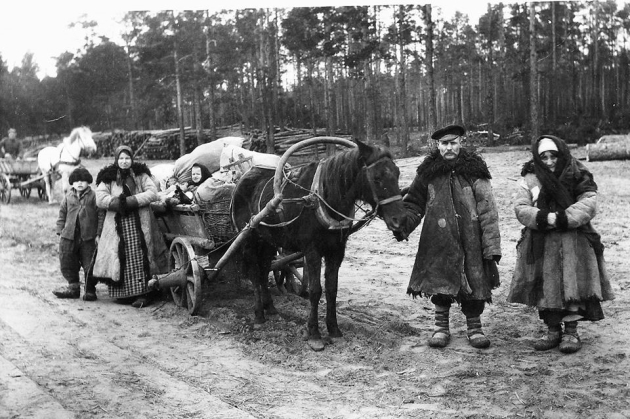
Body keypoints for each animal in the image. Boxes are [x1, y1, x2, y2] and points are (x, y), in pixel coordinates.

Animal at [233, 140, 410, 352]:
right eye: (376, 178)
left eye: (397, 173)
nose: (400, 220)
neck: (323, 197)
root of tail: (242, 180)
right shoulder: (312, 251)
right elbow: (315, 290)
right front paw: (314, 334)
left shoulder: (337, 251)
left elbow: (332, 289)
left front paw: (334, 330)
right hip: (250, 239)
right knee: (254, 273)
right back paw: (259, 314)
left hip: (268, 241)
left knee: (263, 270)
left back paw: (272, 309)